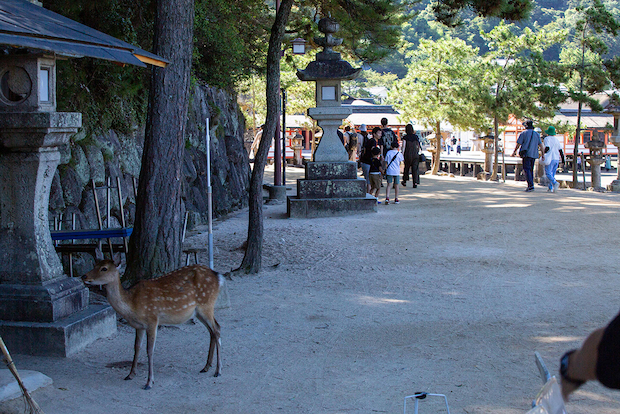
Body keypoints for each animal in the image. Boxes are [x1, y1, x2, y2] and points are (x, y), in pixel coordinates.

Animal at [81, 251, 223, 390]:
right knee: (213, 330)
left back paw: (218, 370)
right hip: (199, 312)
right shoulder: (139, 326)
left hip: (206, 305)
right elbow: (136, 347)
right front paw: (130, 374)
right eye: (95, 264)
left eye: (104, 268)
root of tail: (218, 276)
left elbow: (150, 350)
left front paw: (149, 382)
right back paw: (206, 367)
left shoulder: (152, 320)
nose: (84, 276)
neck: (132, 305)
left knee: (217, 330)